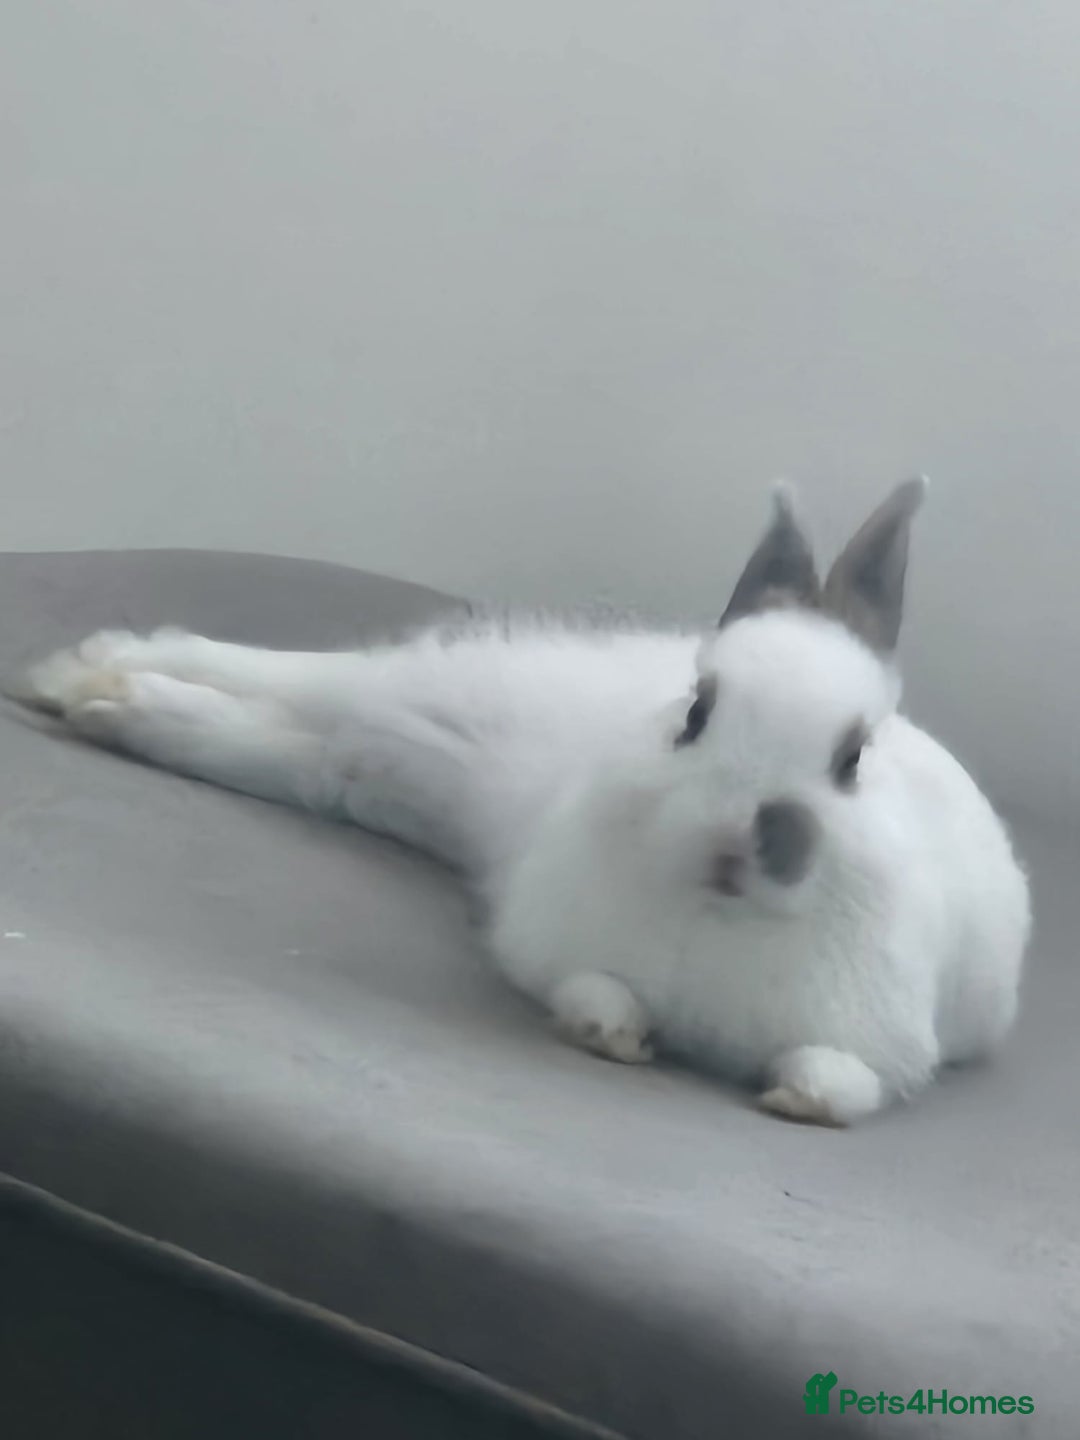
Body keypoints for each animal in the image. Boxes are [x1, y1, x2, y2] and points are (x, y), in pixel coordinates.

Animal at [17, 478, 1030, 1125]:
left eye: (853, 757)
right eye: (696, 712)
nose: (738, 844)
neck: (718, 918)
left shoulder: (886, 1054)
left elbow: (841, 1083)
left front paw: (798, 1099)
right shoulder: (549, 947)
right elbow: (588, 986)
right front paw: (610, 1033)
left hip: (391, 769)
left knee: (301, 751)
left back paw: (113, 703)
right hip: (433, 696)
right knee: (296, 678)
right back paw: (91, 671)